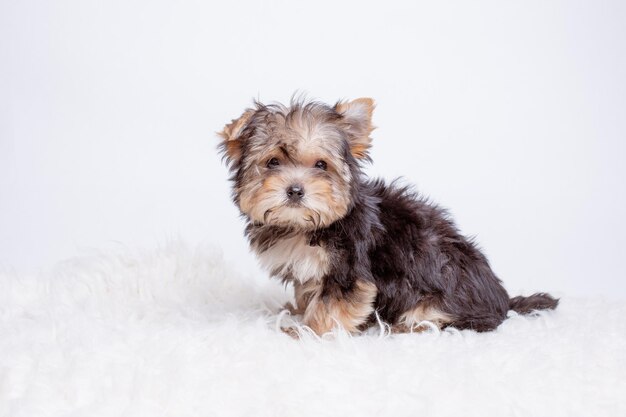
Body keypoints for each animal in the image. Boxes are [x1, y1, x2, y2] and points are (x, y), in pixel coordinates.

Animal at [218, 96, 556, 334]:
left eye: (321, 165)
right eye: (273, 162)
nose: (295, 190)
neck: (303, 226)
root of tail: (503, 301)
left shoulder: (350, 270)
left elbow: (332, 304)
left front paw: (310, 332)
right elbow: (309, 292)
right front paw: (297, 312)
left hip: (443, 289)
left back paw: (407, 327)